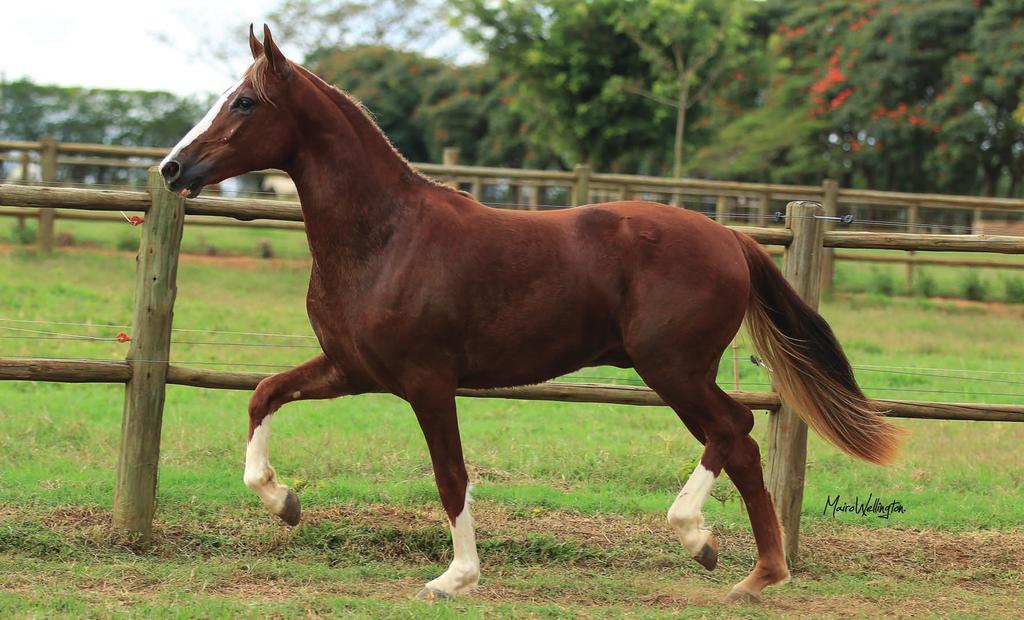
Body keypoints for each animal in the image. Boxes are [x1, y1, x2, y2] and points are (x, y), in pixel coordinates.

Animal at [155, 26, 901, 602]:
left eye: (244, 101)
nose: (171, 169)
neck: (387, 237)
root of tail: (732, 237)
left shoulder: (427, 381)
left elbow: (451, 476)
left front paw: (455, 579)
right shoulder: (352, 369)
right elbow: (263, 394)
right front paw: (283, 503)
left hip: (672, 368)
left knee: (736, 431)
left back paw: (706, 543)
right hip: (678, 370)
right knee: (739, 441)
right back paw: (754, 572)